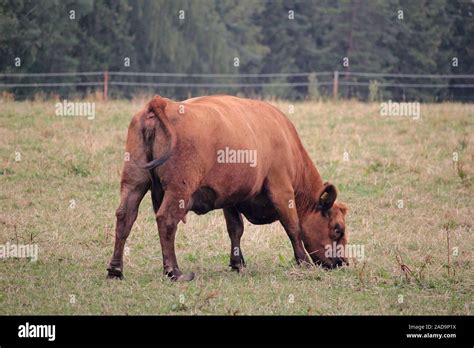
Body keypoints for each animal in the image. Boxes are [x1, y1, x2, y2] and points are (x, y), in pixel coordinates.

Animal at [109, 96, 350, 282]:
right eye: (337, 228)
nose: (343, 262)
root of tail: (163, 103)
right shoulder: (282, 189)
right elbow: (293, 226)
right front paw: (304, 262)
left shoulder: (231, 198)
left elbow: (235, 229)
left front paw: (237, 263)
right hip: (179, 190)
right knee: (166, 220)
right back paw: (174, 272)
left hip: (134, 182)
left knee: (125, 216)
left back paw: (115, 270)